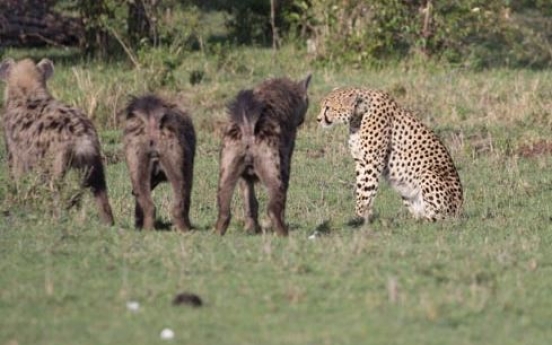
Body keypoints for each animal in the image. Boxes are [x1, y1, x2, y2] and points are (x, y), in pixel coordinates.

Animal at [316, 86, 464, 220]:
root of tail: (460, 210)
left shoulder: (372, 161)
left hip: (428, 174)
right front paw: (361, 214)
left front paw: (361, 215)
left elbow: (367, 189)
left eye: (328, 107)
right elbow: (361, 187)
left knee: (439, 218)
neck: (358, 115)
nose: (318, 119)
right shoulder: (361, 160)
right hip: (405, 188)